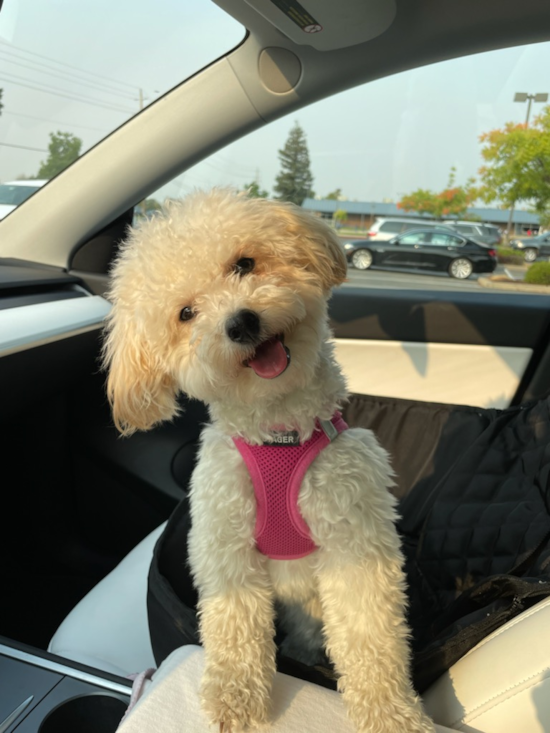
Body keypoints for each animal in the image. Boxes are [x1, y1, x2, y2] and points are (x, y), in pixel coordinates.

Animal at [103, 190, 436, 732]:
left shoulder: (355, 537)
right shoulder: (225, 539)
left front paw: (391, 714)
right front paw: (235, 697)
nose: (240, 323)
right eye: (186, 313)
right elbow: (235, 624)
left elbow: (371, 635)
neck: (279, 436)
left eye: (244, 264)